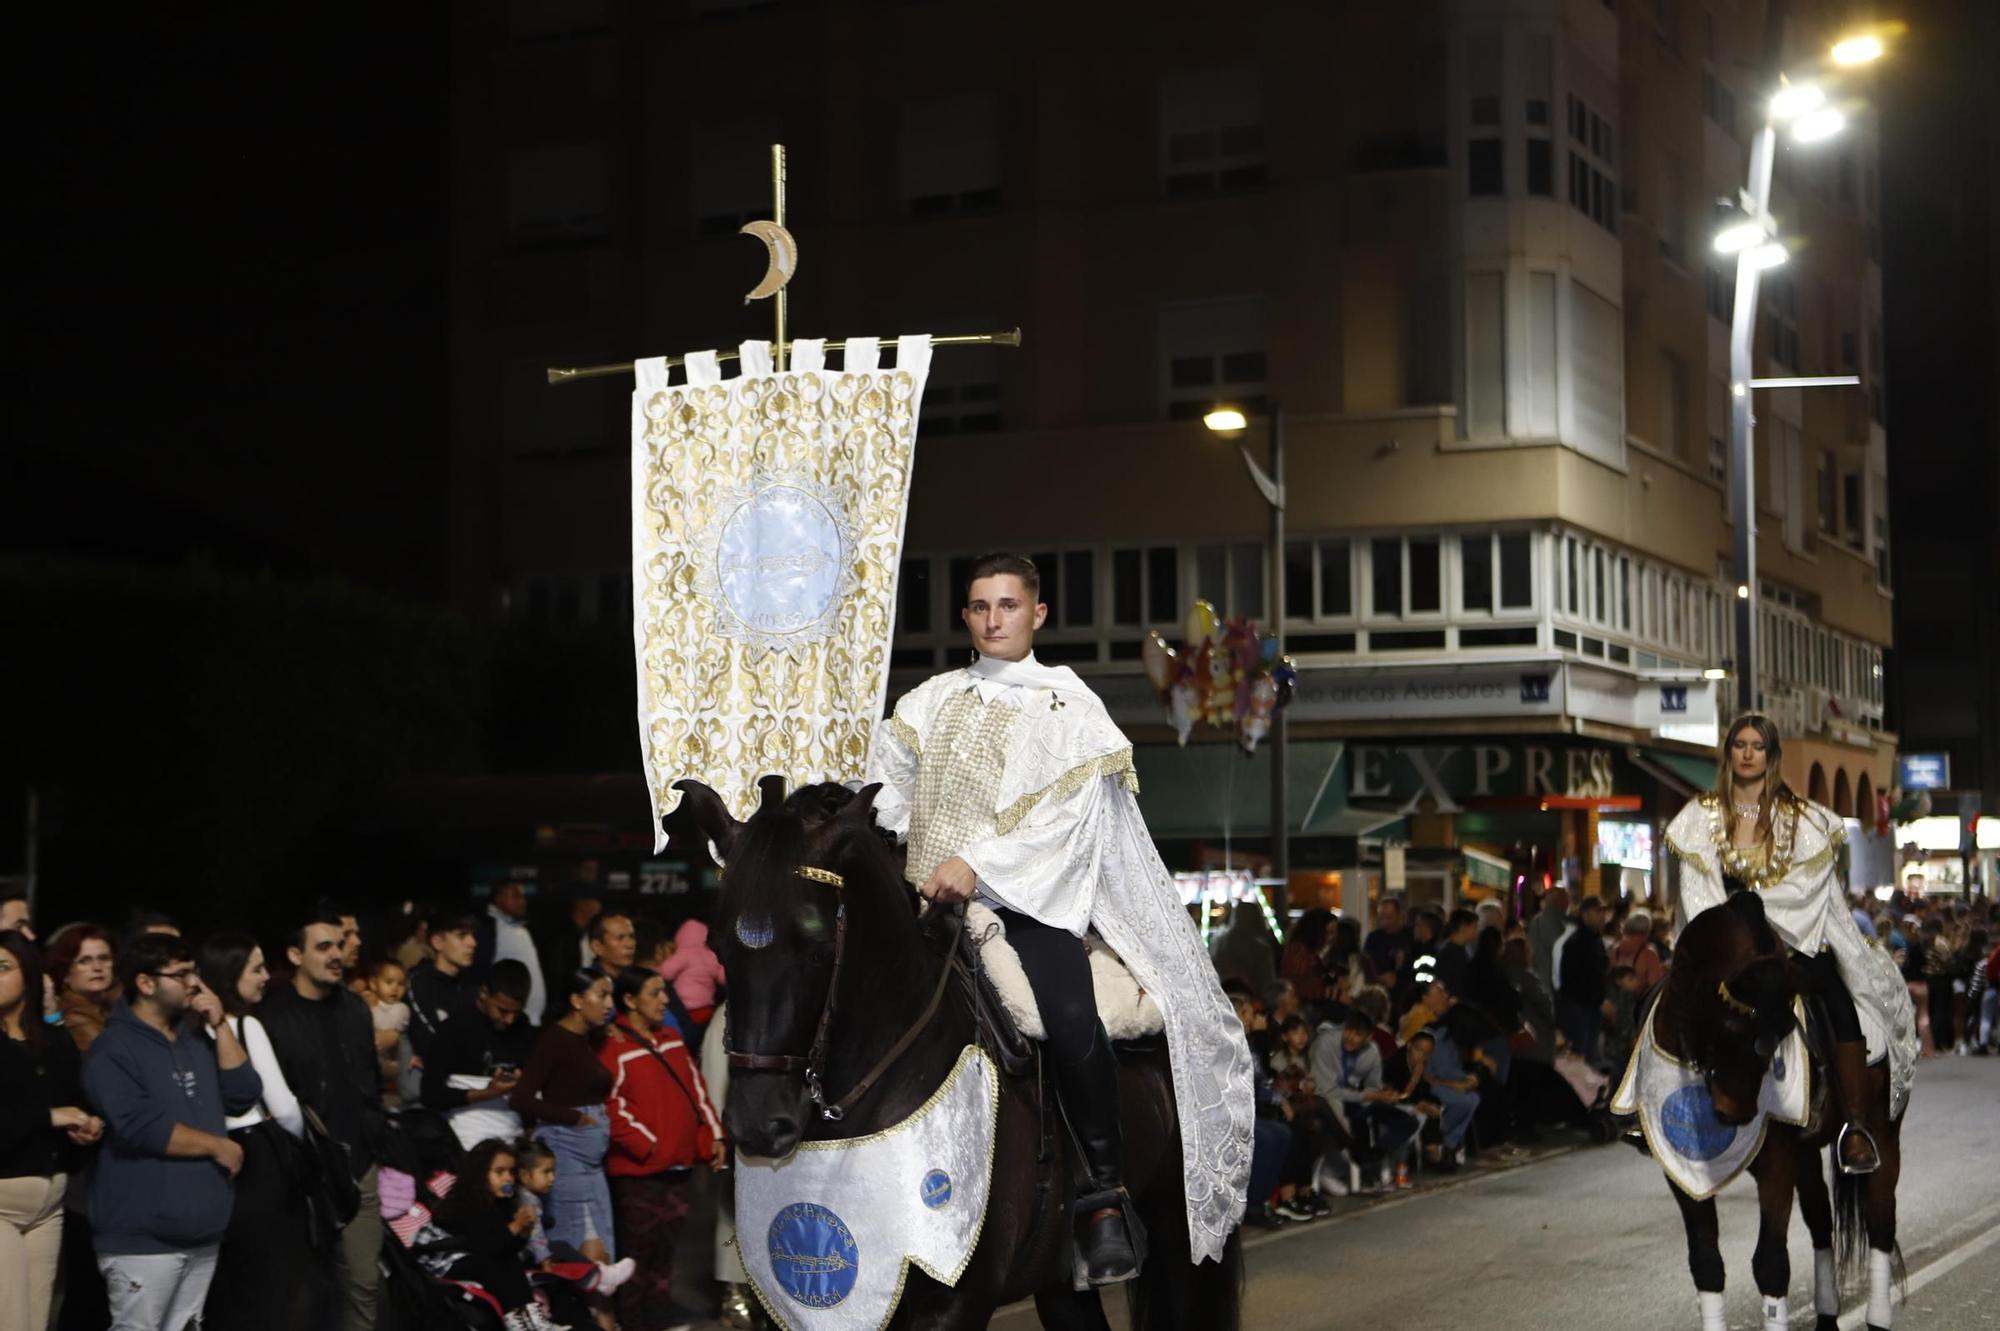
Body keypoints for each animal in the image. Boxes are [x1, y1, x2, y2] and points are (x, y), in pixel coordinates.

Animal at [676, 779, 1232, 1327]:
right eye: (719, 947)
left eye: (819, 949)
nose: (758, 1125)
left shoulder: (955, 1301)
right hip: (1058, 1278)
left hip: (1178, 1232)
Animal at [1656, 891, 1904, 1327]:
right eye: (1725, 1029)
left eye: (1783, 1032)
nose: (1733, 1112)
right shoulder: (1682, 1171)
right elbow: (1706, 1263)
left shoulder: (1776, 1160)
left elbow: (1770, 1263)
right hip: (1806, 1152)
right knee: (1821, 1221)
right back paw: (1827, 1314)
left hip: (1885, 1129)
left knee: (1880, 1221)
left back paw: (1876, 1318)